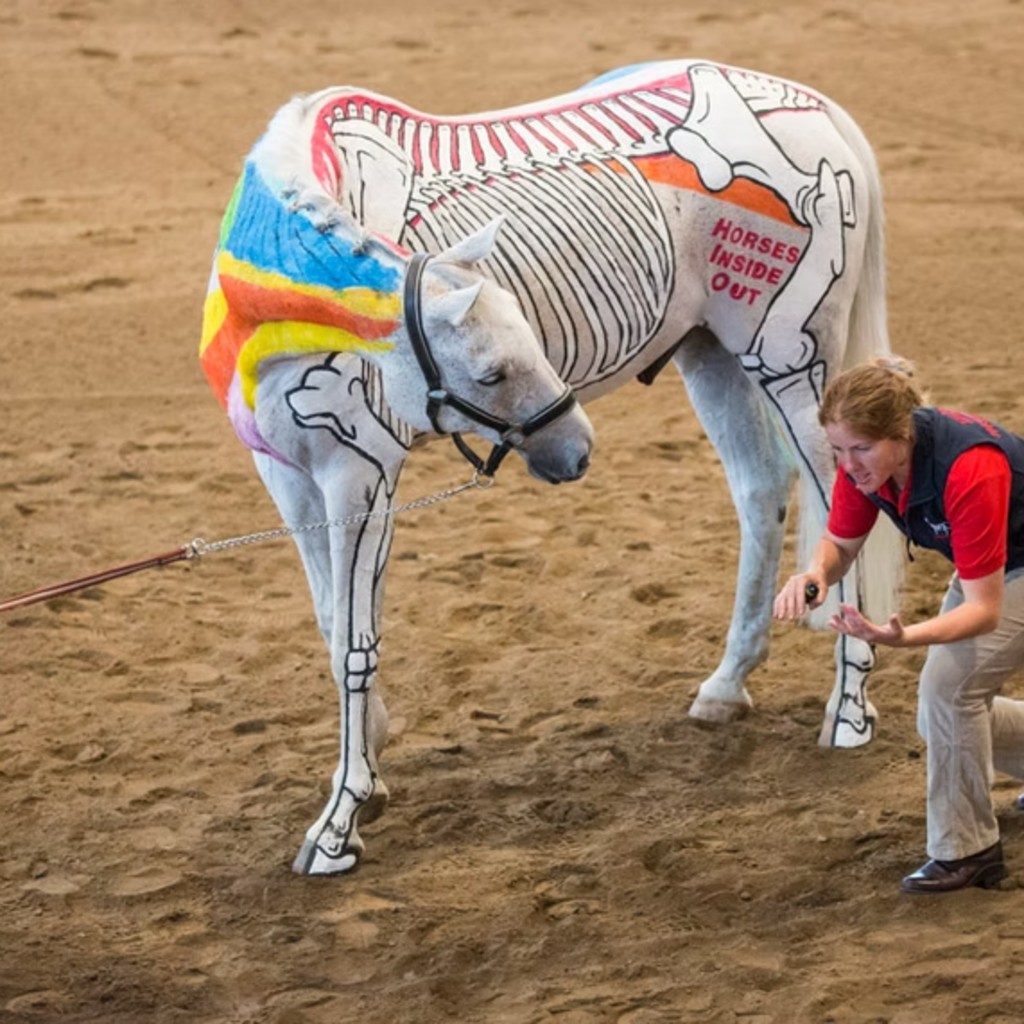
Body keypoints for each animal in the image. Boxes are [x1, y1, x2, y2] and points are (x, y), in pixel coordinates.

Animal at [201, 58, 903, 875]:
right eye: (492, 371)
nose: (577, 447)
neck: (278, 305)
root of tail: (815, 106)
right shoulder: (288, 477)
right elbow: (330, 622)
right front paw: (368, 770)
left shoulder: (361, 475)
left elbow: (354, 644)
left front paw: (338, 825)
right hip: (707, 353)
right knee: (761, 490)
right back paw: (727, 686)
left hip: (787, 361)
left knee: (842, 505)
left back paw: (849, 712)